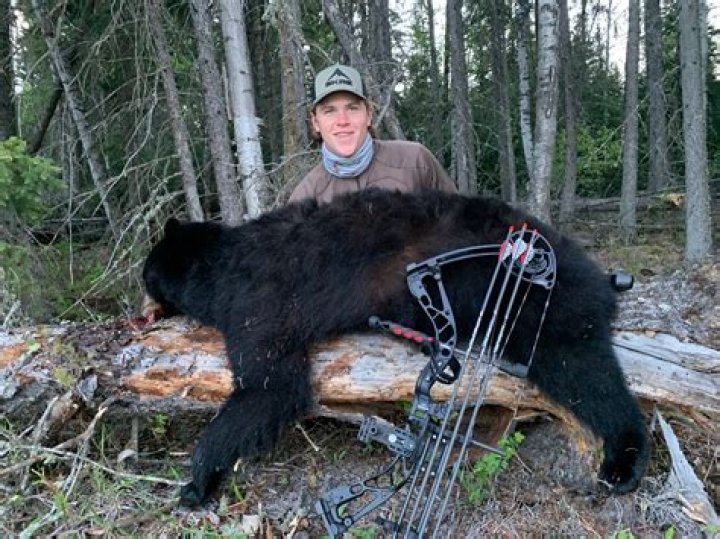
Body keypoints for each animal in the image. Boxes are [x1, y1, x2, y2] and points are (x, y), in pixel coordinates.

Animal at [141, 188, 649, 506]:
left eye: (146, 270)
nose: (141, 299)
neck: (220, 268)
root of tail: (596, 272)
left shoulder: (259, 304)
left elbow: (270, 389)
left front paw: (196, 482)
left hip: (538, 310)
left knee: (588, 374)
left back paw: (622, 464)